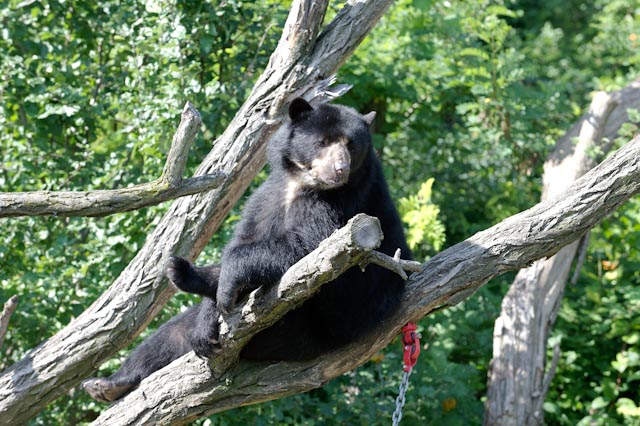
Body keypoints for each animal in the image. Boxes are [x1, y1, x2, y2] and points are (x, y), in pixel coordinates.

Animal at [82, 98, 410, 404]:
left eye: (351, 146)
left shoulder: (346, 201)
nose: (339, 170)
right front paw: (210, 305)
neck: (302, 183)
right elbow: (248, 235)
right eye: (323, 142)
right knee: (170, 334)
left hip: (303, 326)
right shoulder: (269, 194)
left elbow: (308, 245)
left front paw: (228, 282)